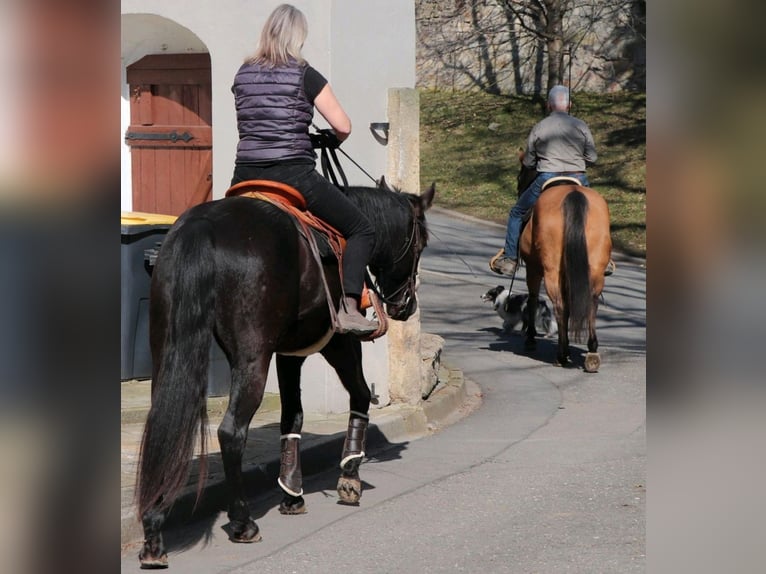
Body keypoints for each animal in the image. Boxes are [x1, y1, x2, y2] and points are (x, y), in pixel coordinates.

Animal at [136, 181, 435, 568]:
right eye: (420, 244)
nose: (406, 306)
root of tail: (203, 227)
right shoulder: (339, 344)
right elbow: (360, 397)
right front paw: (349, 476)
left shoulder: (289, 354)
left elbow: (292, 417)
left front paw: (292, 492)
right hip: (252, 358)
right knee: (231, 432)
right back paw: (243, 523)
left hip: (168, 351)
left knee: (164, 425)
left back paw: (154, 532)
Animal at [516, 153, 611, 372]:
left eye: (520, 176)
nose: (518, 190)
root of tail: (573, 194)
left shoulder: (533, 269)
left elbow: (533, 299)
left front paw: (531, 338)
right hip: (595, 269)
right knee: (591, 302)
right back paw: (592, 352)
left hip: (552, 271)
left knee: (560, 305)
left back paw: (561, 354)